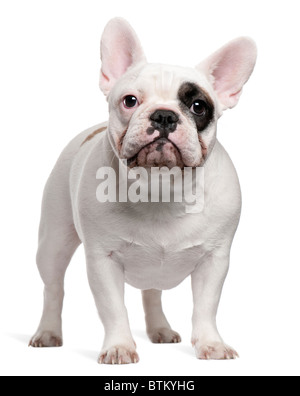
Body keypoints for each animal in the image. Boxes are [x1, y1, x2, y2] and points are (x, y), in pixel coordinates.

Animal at [29, 18, 256, 366]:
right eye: (130, 101)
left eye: (198, 106)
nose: (164, 115)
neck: (160, 188)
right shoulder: (103, 260)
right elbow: (113, 309)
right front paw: (119, 347)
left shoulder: (214, 260)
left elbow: (206, 307)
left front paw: (211, 344)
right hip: (53, 242)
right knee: (53, 288)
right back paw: (48, 333)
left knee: (152, 293)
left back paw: (160, 329)